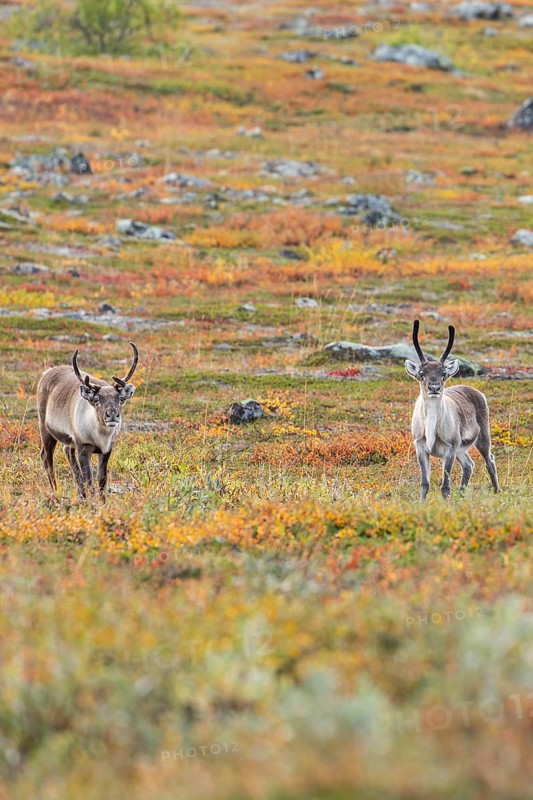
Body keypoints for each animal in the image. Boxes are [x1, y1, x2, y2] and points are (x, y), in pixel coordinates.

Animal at [37, 343, 138, 501]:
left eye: (120, 399)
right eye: (96, 399)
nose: (112, 415)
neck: (100, 437)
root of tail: (47, 372)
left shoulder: (107, 449)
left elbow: (102, 480)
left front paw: (103, 502)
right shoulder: (83, 447)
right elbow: (90, 479)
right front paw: (93, 502)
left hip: (69, 440)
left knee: (67, 451)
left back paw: (81, 493)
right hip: (45, 427)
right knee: (46, 457)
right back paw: (56, 491)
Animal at [405, 320, 498, 501]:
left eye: (443, 373)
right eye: (422, 373)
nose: (434, 387)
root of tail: (478, 392)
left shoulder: (450, 448)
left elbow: (445, 485)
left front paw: (446, 503)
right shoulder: (420, 446)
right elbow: (424, 483)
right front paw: (421, 504)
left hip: (482, 436)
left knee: (489, 460)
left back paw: (498, 491)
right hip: (461, 449)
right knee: (469, 464)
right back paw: (461, 496)